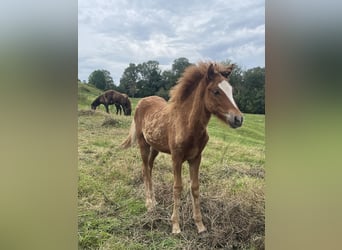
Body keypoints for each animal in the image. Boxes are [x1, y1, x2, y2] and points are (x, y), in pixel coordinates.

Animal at [121, 62, 242, 234]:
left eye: (231, 90)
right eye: (216, 91)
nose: (238, 119)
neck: (188, 124)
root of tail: (142, 101)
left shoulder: (196, 158)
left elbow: (195, 188)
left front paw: (200, 225)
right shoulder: (176, 158)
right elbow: (177, 187)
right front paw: (176, 226)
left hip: (155, 147)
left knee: (149, 167)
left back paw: (155, 201)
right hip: (143, 143)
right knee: (144, 169)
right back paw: (149, 203)